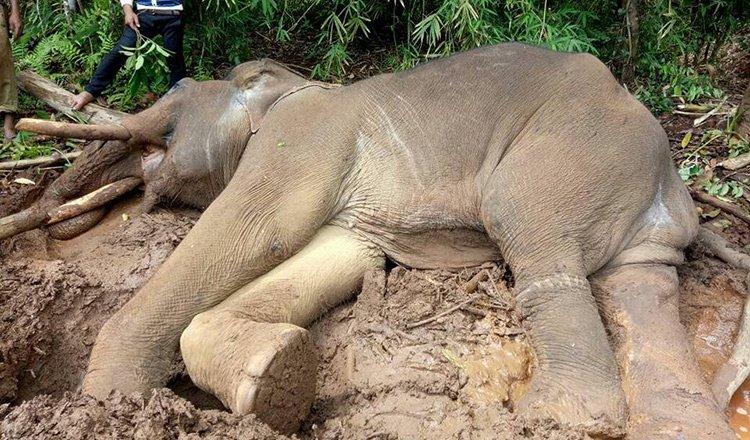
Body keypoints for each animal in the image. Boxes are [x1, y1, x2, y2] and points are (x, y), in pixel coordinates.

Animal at [13, 42, 740, 440]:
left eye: (172, 111)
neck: (297, 83)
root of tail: (672, 173)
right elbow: (344, 254)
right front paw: (274, 380)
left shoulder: (304, 135)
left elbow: (257, 231)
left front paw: (109, 400)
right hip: (632, 205)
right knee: (639, 288)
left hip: (579, 148)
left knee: (527, 223)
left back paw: (563, 416)